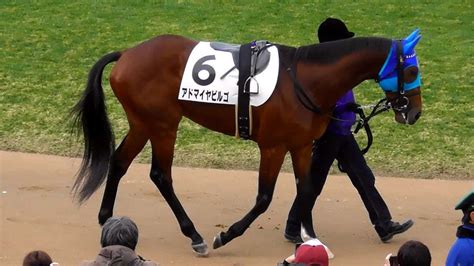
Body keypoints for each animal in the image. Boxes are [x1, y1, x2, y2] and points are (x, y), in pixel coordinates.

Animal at [70, 29, 422, 256]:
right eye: (412, 70)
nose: (415, 112)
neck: (304, 79)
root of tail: (127, 54)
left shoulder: (301, 145)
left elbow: (307, 189)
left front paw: (308, 238)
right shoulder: (273, 146)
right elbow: (264, 198)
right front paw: (226, 235)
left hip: (143, 123)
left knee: (119, 161)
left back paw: (106, 220)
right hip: (162, 125)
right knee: (160, 175)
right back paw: (195, 235)